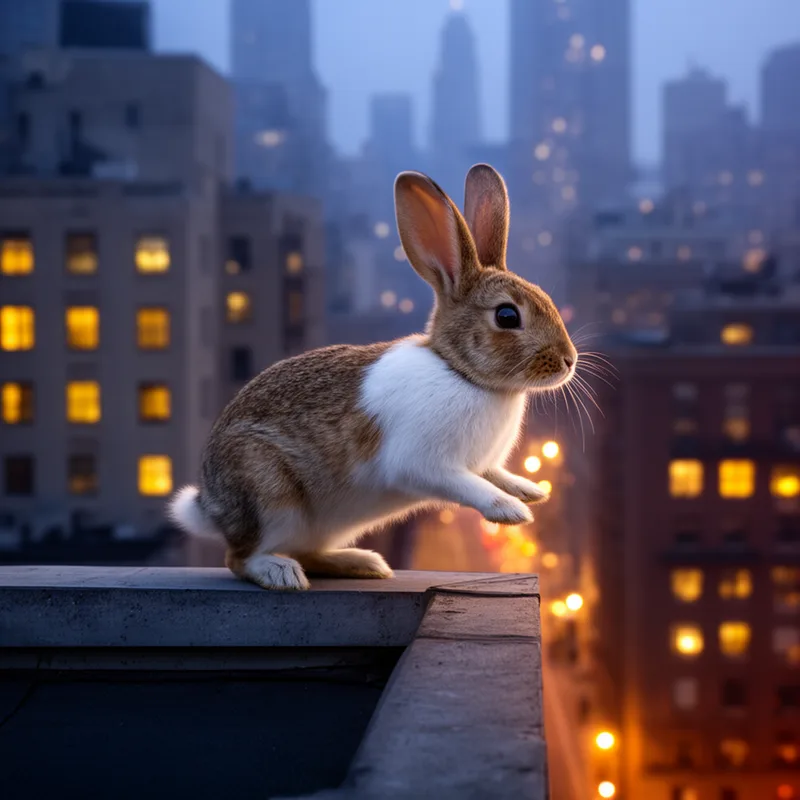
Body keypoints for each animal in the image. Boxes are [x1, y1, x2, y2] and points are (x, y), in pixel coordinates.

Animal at [168, 164, 578, 590]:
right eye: (507, 316)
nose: (569, 361)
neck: (462, 373)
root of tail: (209, 506)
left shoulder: (482, 463)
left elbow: (493, 474)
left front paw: (529, 491)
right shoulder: (424, 464)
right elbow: (469, 485)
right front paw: (511, 511)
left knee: (305, 551)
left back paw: (361, 562)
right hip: (270, 495)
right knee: (240, 557)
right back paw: (281, 573)